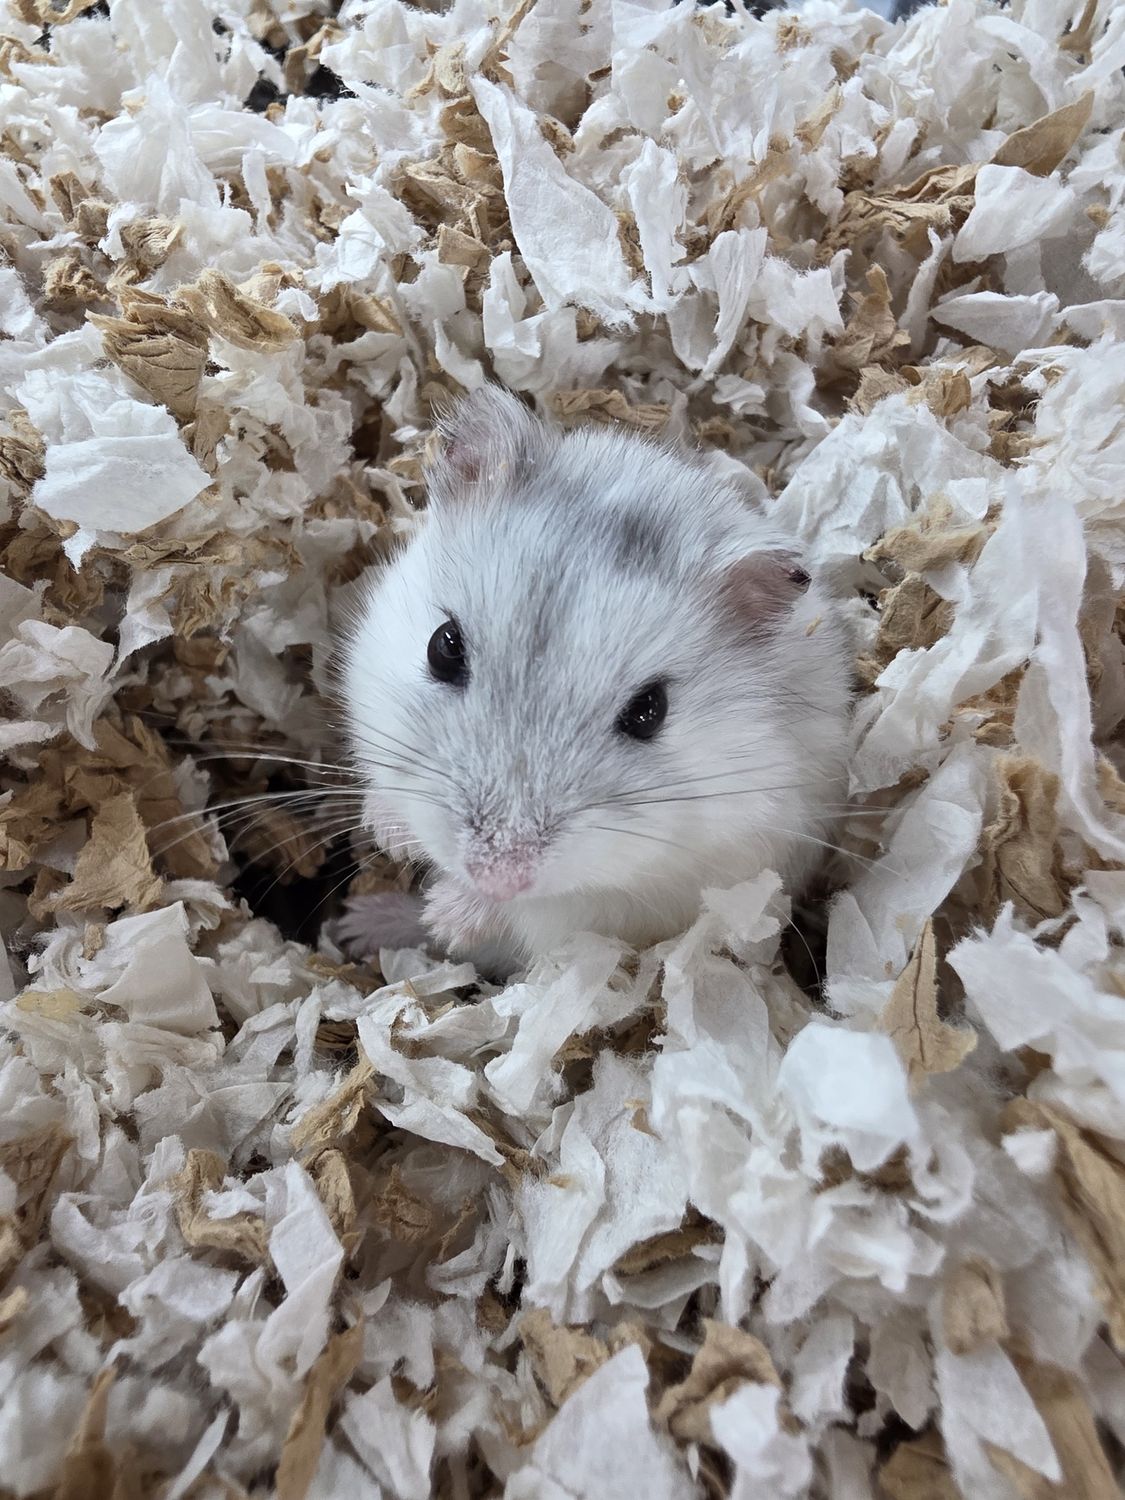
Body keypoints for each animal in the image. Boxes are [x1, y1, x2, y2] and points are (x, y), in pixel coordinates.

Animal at [338, 384, 852, 975]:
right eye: (443, 646)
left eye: (650, 711)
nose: (496, 875)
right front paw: (389, 835)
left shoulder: (645, 895)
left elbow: (536, 913)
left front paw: (449, 915)